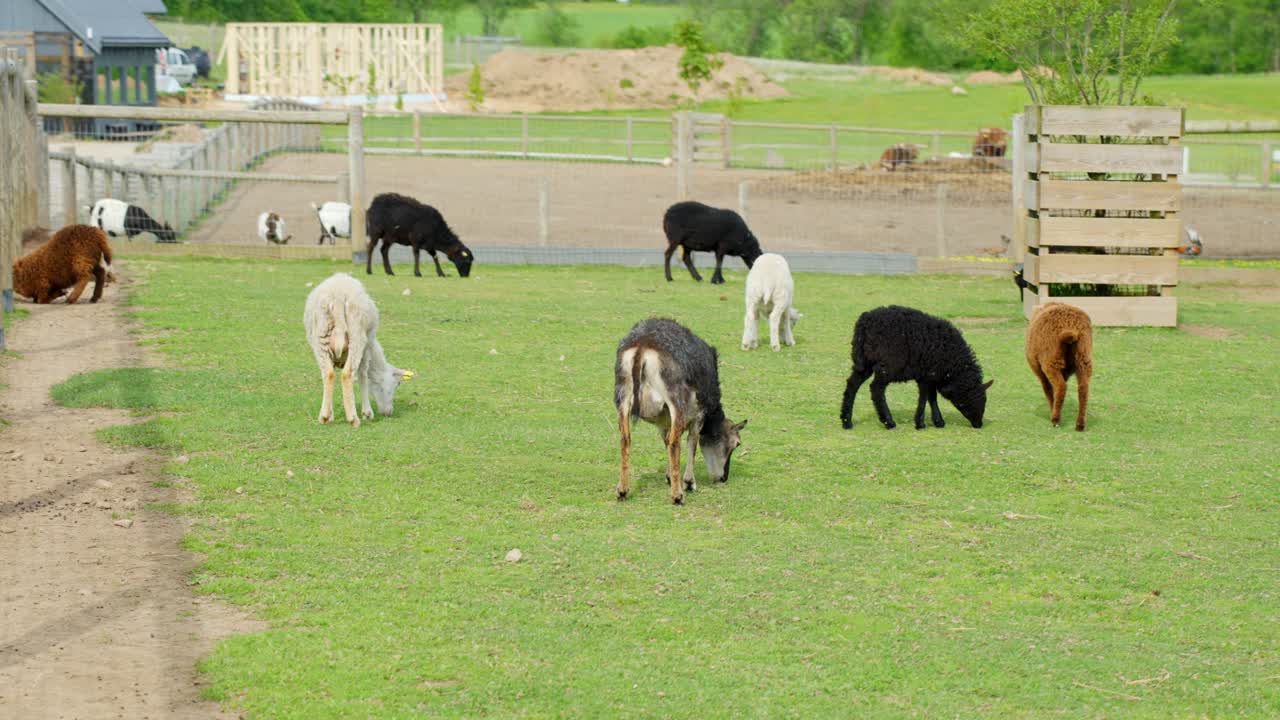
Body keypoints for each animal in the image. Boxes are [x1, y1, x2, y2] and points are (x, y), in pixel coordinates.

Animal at [303, 273, 415, 428]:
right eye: (397, 384)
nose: (388, 413)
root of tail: (338, 296)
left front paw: (331, 414)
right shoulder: (367, 348)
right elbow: (363, 375)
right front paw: (367, 413)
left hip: (321, 337)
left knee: (328, 374)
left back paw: (324, 416)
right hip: (357, 336)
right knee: (347, 375)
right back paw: (353, 418)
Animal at [615, 318, 747, 505]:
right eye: (737, 443)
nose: (723, 478)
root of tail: (643, 346)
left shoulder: (662, 421)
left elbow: (665, 440)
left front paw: (669, 477)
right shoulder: (698, 414)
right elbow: (692, 442)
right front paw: (689, 483)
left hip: (622, 397)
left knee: (626, 439)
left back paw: (622, 490)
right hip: (676, 400)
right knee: (674, 443)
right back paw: (678, 495)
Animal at [840, 305, 994, 430]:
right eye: (973, 398)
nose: (978, 424)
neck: (953, 366)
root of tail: (865, 321)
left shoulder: (930, 375)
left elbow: (932, 397)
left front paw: (938, 422)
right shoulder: (927, 375)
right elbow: (925, 397)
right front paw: (920, 424)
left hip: (864, 361)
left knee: (852, 384)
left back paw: (847, 421)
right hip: (888, 364)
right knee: (876, 389)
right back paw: (889, 422)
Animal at [1026, 302, 1093, 431]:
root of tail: (1069, 325)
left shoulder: (1040, 372)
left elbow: (1047, 389)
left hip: (1051, 361)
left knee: (1061, 387)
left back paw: (1055, 419)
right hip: (1083, 358)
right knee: (1083, 389)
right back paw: (1080, 424)